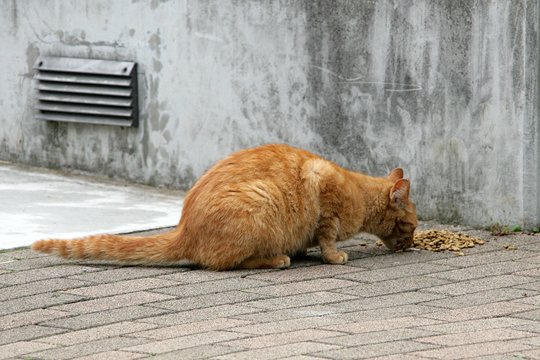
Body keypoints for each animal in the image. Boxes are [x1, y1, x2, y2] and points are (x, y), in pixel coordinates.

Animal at [31, 143, 418, 270]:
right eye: (413, 226)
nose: (412, 245)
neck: (358, 191)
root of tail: (184, 231)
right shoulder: (323, 189)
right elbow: (327, 237)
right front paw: (333, 255)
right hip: (261, 201)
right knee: (226, 263)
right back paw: (277, 259)